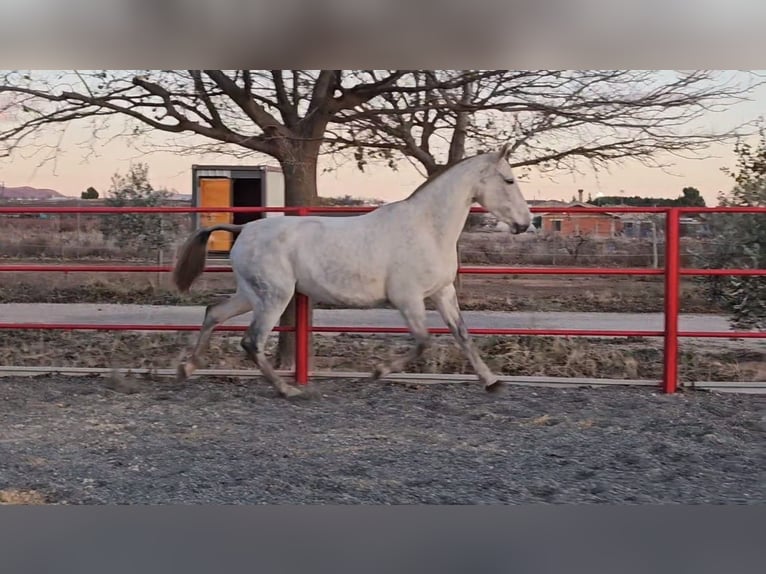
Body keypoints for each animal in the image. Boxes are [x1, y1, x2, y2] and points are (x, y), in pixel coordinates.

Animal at [170, 142, 532, 398]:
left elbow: (463, 335)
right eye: (509, 179)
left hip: (251, 294)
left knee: (214, 313)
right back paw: (289, 390)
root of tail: (243, 229)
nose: (525, 224)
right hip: (274, 297)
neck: (427, 228)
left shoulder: (442, 292)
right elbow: (423, 341)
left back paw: (187, 368)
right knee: (252, 341)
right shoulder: (408, 298)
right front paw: (378, 371)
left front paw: (492, 382)